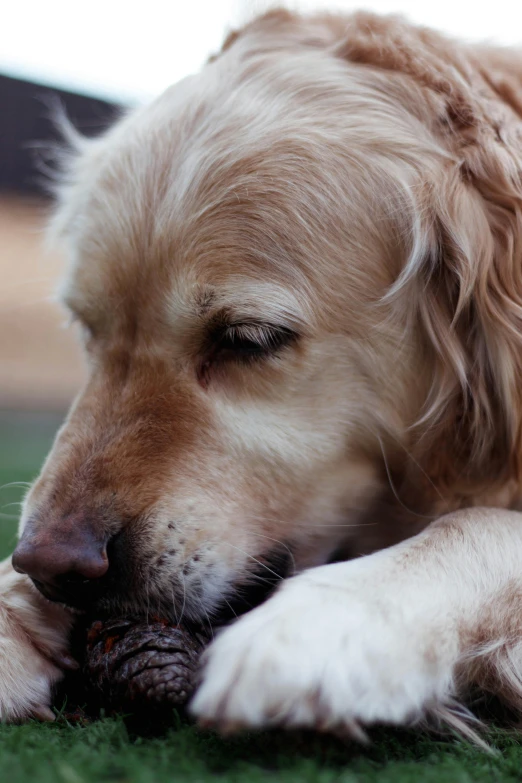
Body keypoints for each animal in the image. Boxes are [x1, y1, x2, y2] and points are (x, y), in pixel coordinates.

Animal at [3, 9, 520, 740]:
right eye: (88, 330)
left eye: (248, 339)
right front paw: (9, 607)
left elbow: (480, 524)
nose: (51, 566)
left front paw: (328, 624)